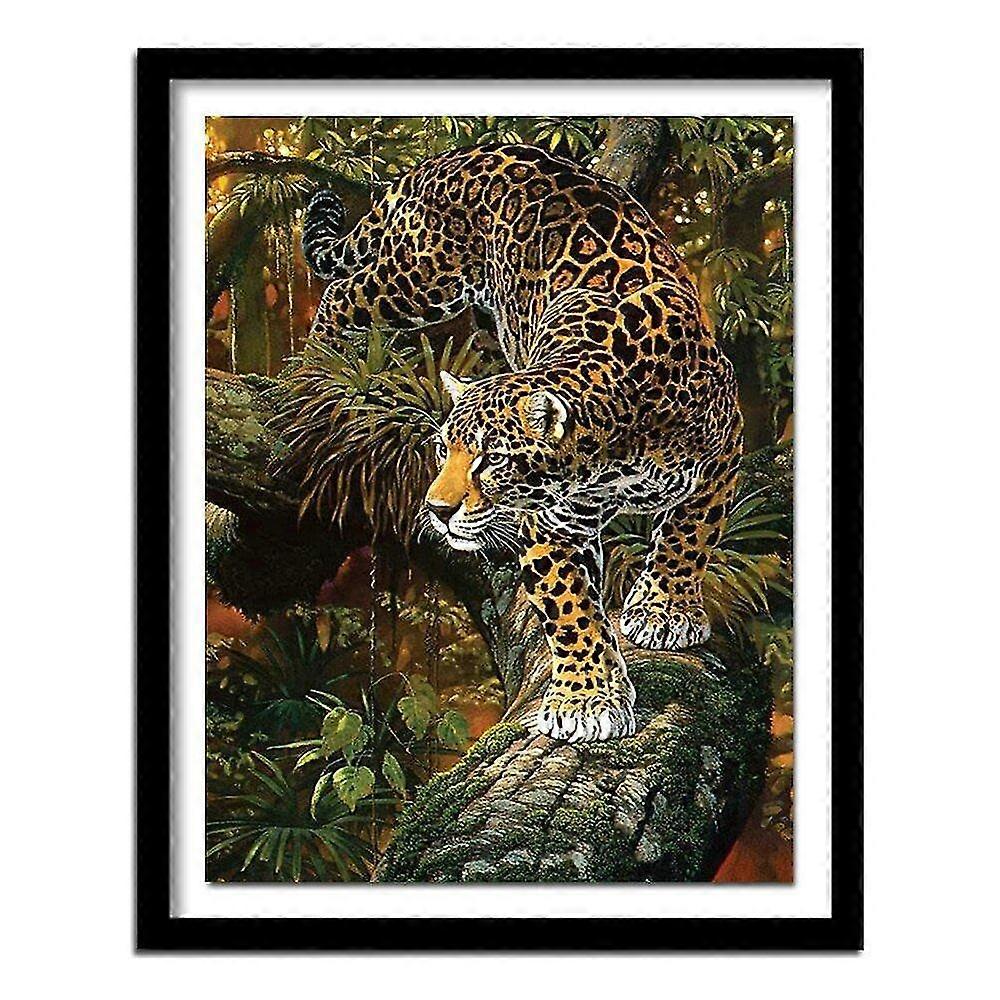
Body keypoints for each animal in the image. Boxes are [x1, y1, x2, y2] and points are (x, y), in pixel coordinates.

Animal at [302, 143, 743, 744]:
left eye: (491, 459)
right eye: (443, 451)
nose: (436, 510)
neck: (614, 440)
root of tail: (462, 154)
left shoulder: (724, 450)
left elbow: (689, 536)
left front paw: (662, 611)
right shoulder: (551, 521)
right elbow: (570, 606)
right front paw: (586, 698)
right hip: (419, 277)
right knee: (340, 294)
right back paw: (321, 363)